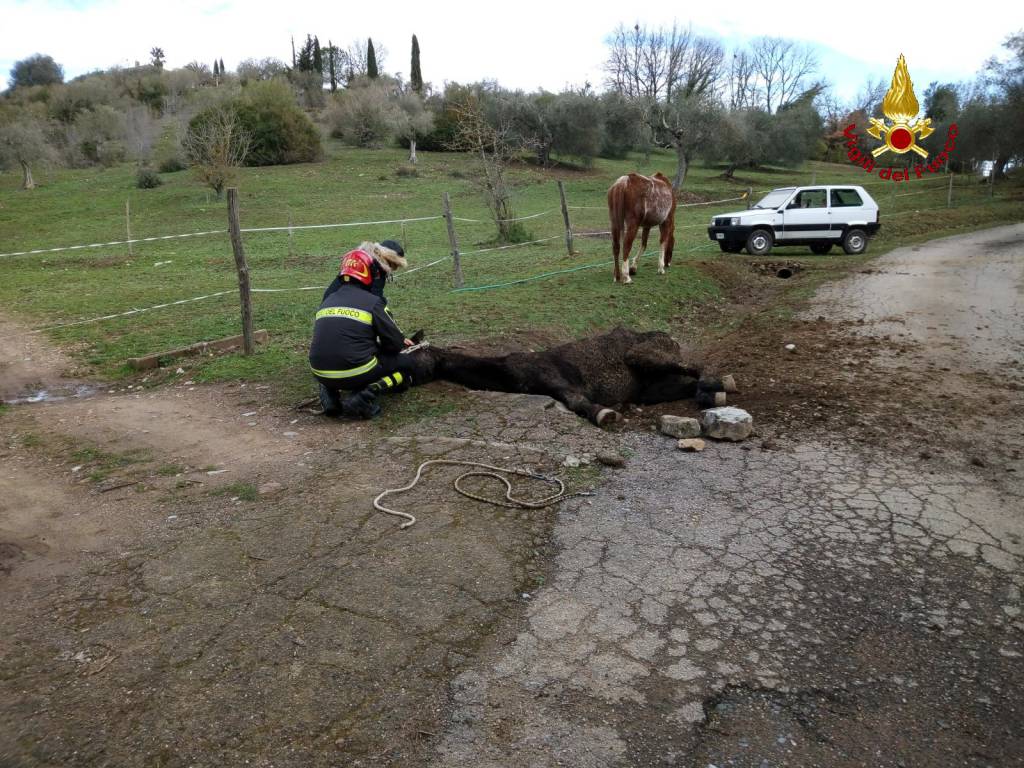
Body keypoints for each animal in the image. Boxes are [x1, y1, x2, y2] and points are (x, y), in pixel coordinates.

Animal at [407, 327, 720, 428]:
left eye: (406, 353)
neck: (509, 370)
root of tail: (668, 337)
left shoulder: (560, 383)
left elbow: (578, 403)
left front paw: (604, 414)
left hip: (647, 356)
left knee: (695, 367)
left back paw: (718, 384)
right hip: (655, 388)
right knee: (690, 384)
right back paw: (714, 392)